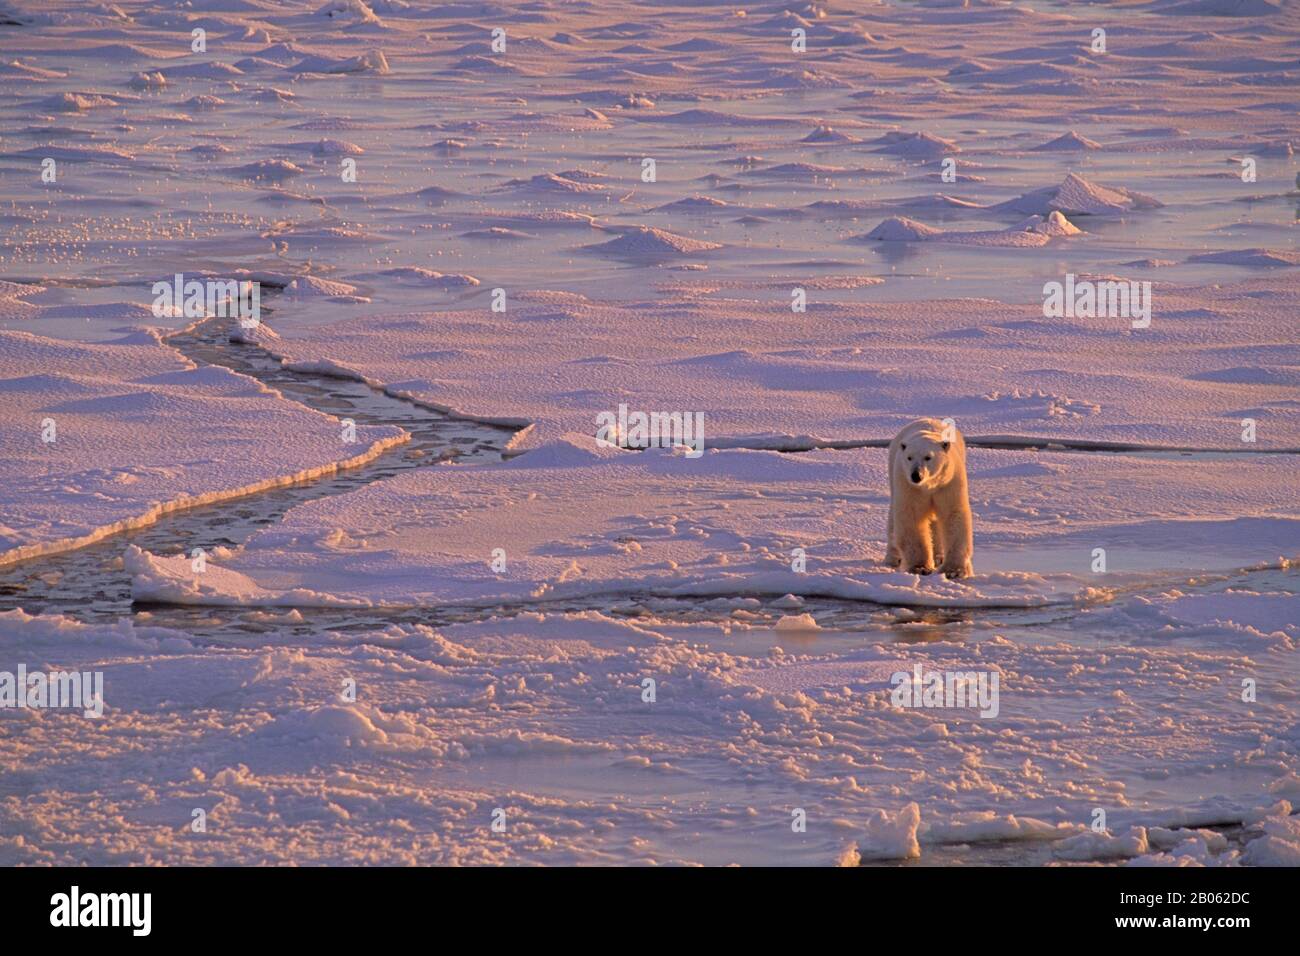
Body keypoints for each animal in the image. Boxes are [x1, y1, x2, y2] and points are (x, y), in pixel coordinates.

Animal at [885, 418, 973, 579]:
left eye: (928, 457)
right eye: (909, 457)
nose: (916, 475)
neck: (929, 485)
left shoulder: (949, 481)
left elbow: (953, 514)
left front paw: (953, 571)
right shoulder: (909, 486)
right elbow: (911, 516)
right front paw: (920, 568)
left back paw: (939, 557)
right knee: (893, 516)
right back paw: (893, 558)